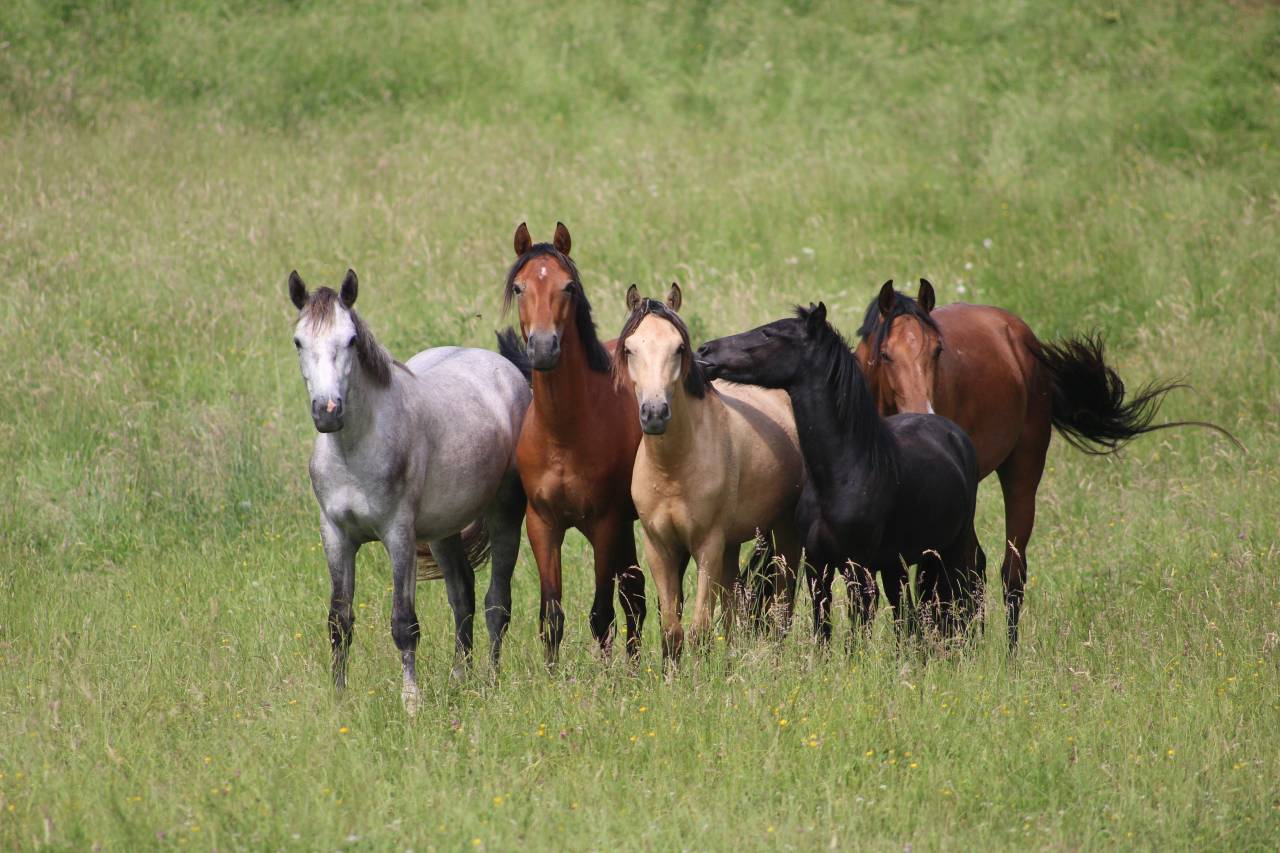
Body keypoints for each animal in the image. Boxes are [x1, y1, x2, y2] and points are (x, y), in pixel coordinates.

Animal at [288, 269, 530, 711]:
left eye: (351, 340)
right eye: (299, 341)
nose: (327, 412)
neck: (354, 450)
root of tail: (508, 371)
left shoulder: (398, 535)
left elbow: (404, 623)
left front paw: (411, 702)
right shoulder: (336, 535)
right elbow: (339, 622)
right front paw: (338, 700)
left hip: (504, 515)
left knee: (496, 603)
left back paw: (491, 681)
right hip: (442, 531)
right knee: (462, 595)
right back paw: (460, 680)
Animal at [503, 222, 645, 665]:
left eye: (567, 287)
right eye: (519, 287)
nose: (543, 347)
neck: (564, 433)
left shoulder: (605, 523)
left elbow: (601, 615)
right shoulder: (542, 524)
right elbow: (551, 617)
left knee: (631, 600)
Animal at [615, 283, 804, 663]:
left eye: (679, 347)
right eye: (630, 348)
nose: (655, 413)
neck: (673, 468)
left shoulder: (707, 544)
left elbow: (699, 629)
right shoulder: (660, 547)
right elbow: (672, 631)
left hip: (782, 532)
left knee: (782, 601)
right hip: (732, 545)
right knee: (732, 607)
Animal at [697, 303, 985, 645]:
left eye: (769, 333)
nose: (704, 351)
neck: (843, 474)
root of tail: (955, 435)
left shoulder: (857, 568)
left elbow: (856, 632)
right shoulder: (817, 566)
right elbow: (823, 628)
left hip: (951, 551)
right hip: (899, 564)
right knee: (909, 617)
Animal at [854, 279, 1239, 647]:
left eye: (937, 350)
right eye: (885, 355)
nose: (925, 413)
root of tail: (1015, 332)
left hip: (1022, 475)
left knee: (1009, 574)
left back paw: (1006, 654)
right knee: (974, 566)